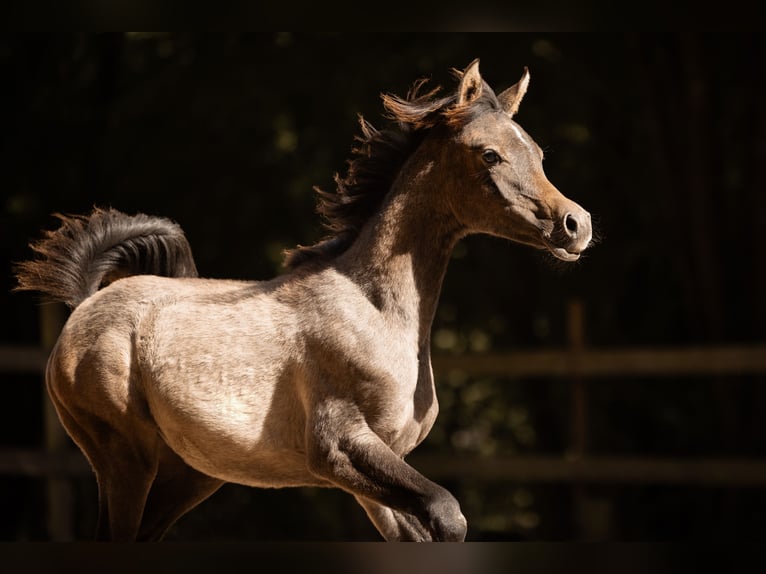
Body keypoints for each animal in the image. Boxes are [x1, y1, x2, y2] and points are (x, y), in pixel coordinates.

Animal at [14, 59, 592, 542]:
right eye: (490, 154)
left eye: (538, 154)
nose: (576, 224)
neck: (376, 311)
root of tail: (85, 305)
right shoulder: (337, 446)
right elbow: (449, 515)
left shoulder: (382, 469)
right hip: (126, 458)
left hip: (189, 473)